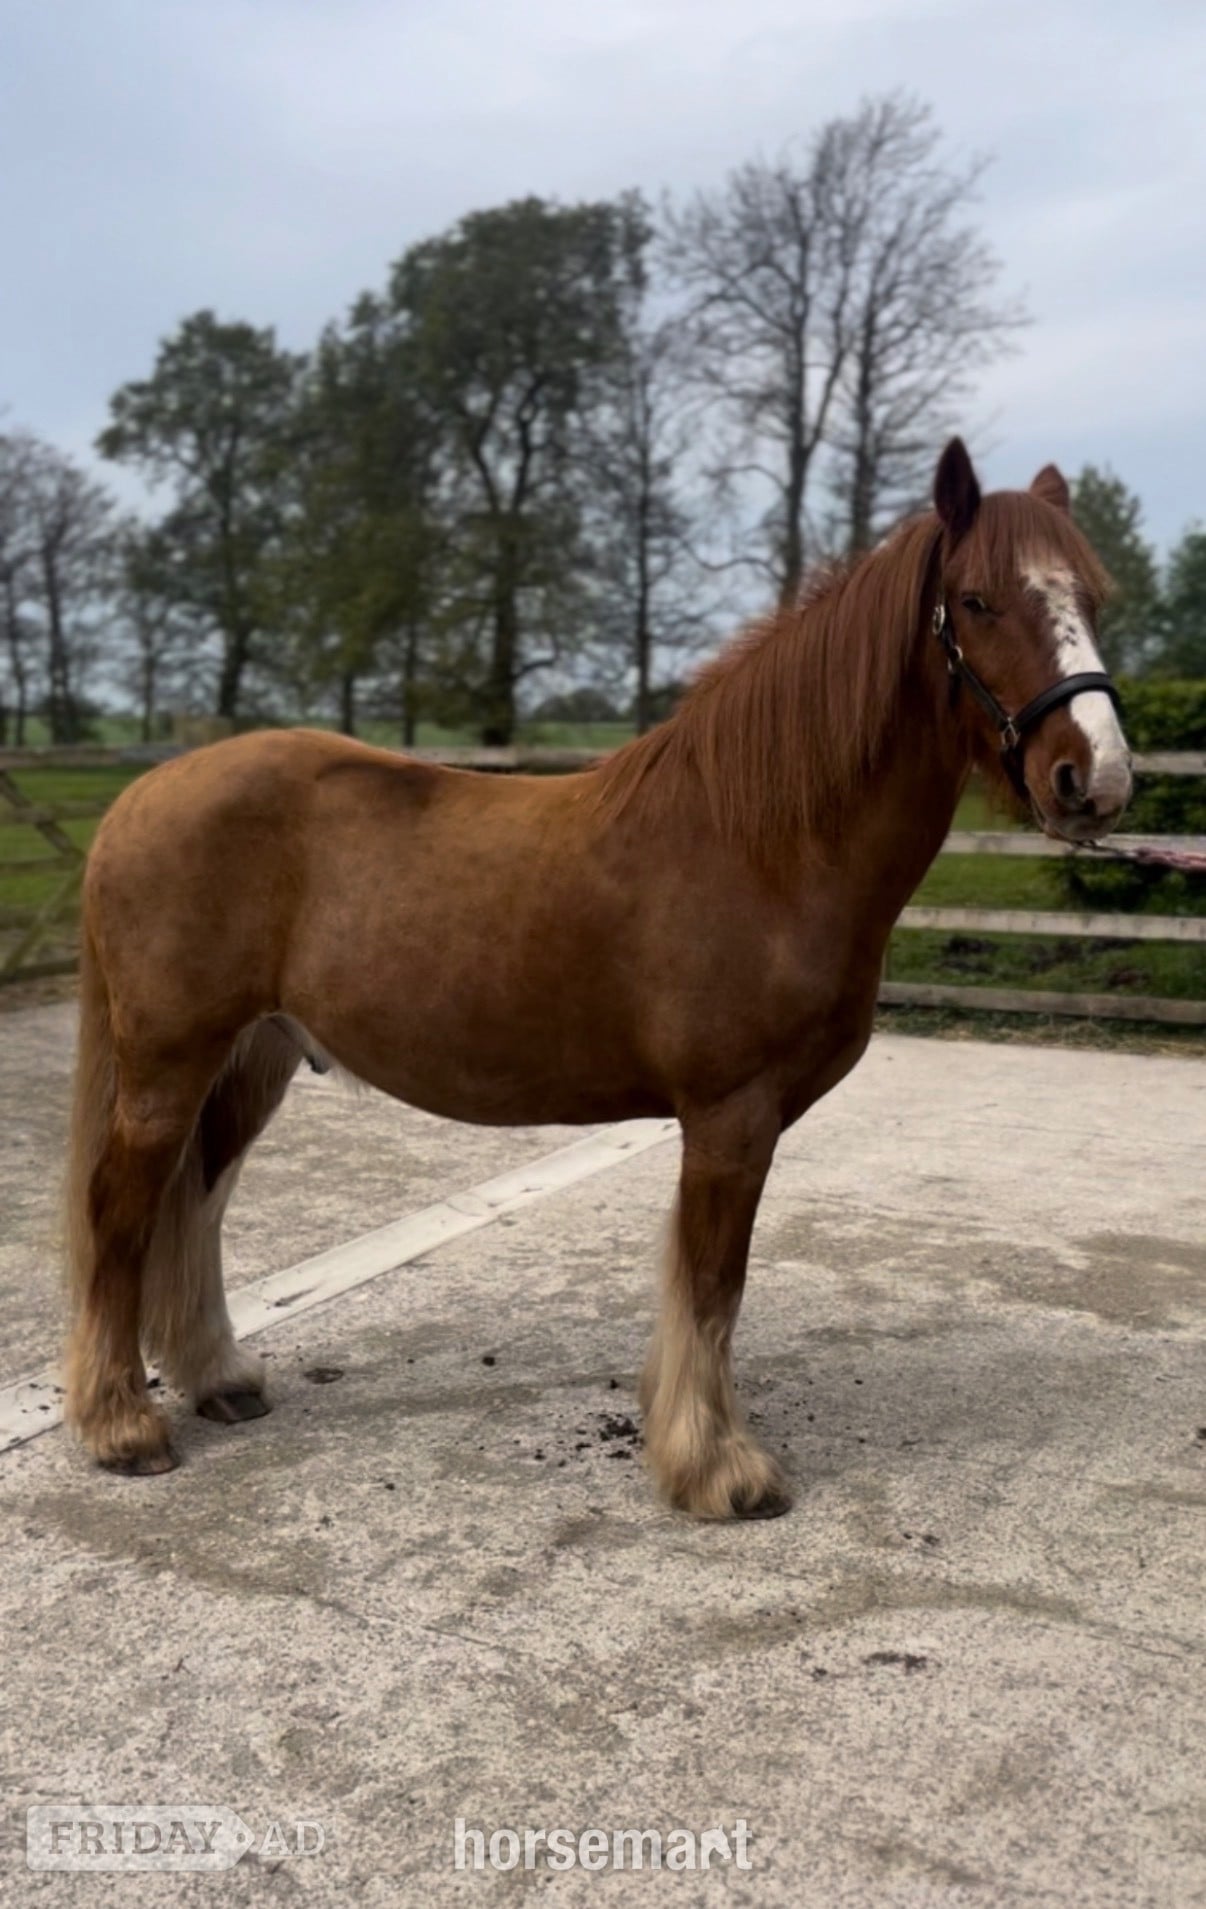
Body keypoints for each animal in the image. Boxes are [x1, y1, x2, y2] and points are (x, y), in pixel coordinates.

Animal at [62, 438, 1132, 1517]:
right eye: (978, 600)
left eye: (1091, 597)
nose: (1097, 778)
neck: (766, 843)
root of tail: (138, 798)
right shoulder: (731, 1116)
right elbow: (713, 1284)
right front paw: (720, 1468)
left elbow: (705, 1288)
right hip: (168, 1063)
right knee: (120, 1211)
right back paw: (121, 1427)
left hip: (254, 1057)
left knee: (195, 1203)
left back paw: (220, 1380)